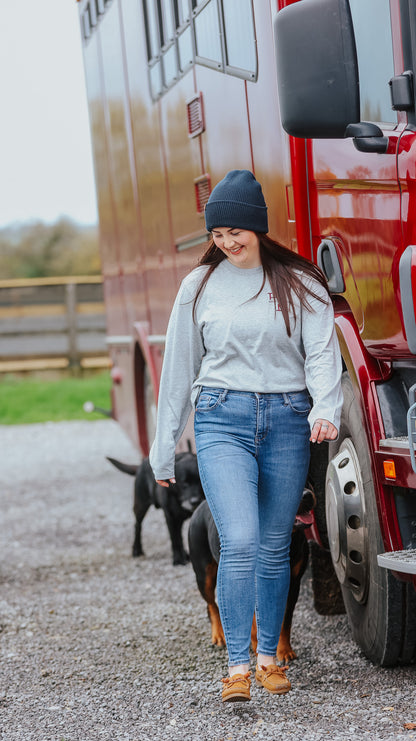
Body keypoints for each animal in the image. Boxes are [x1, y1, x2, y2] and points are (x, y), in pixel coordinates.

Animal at [188, 488, 316, 660]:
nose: (307, 495)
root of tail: (200, 506)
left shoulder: (293, 585)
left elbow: (285, 621)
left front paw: (284, 650)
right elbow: (255, 622)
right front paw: (257, 647)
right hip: (204, 574)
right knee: (211, 604)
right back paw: (219, 634)